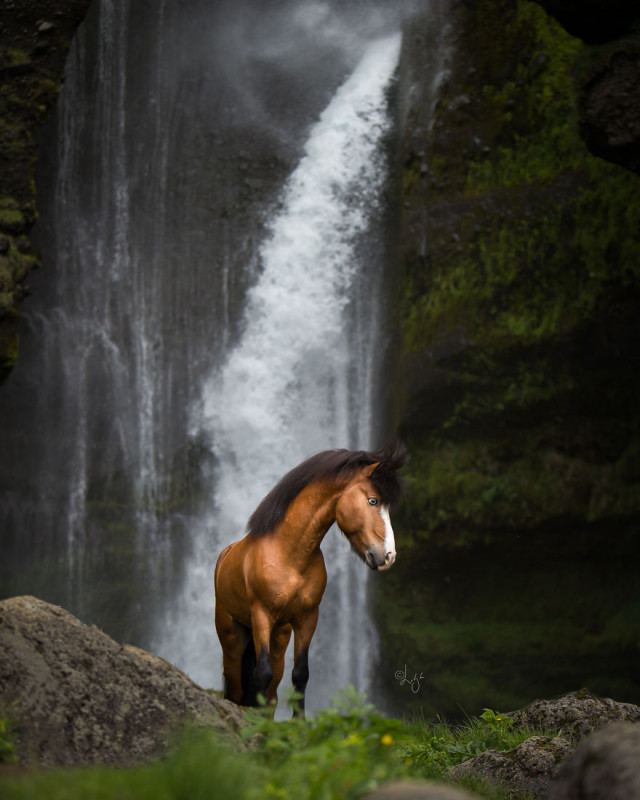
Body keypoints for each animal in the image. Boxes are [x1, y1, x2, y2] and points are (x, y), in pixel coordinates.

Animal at [214, 446, 404, 716]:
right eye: (373, 500)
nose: (388, 556)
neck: (290, 555)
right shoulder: (261, 615)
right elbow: (261, 673)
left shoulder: (307, 618)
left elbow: (300, 674)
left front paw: (298, 721)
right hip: (232, 640)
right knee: (237, 688)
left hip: (279, 638)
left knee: (272, 690)